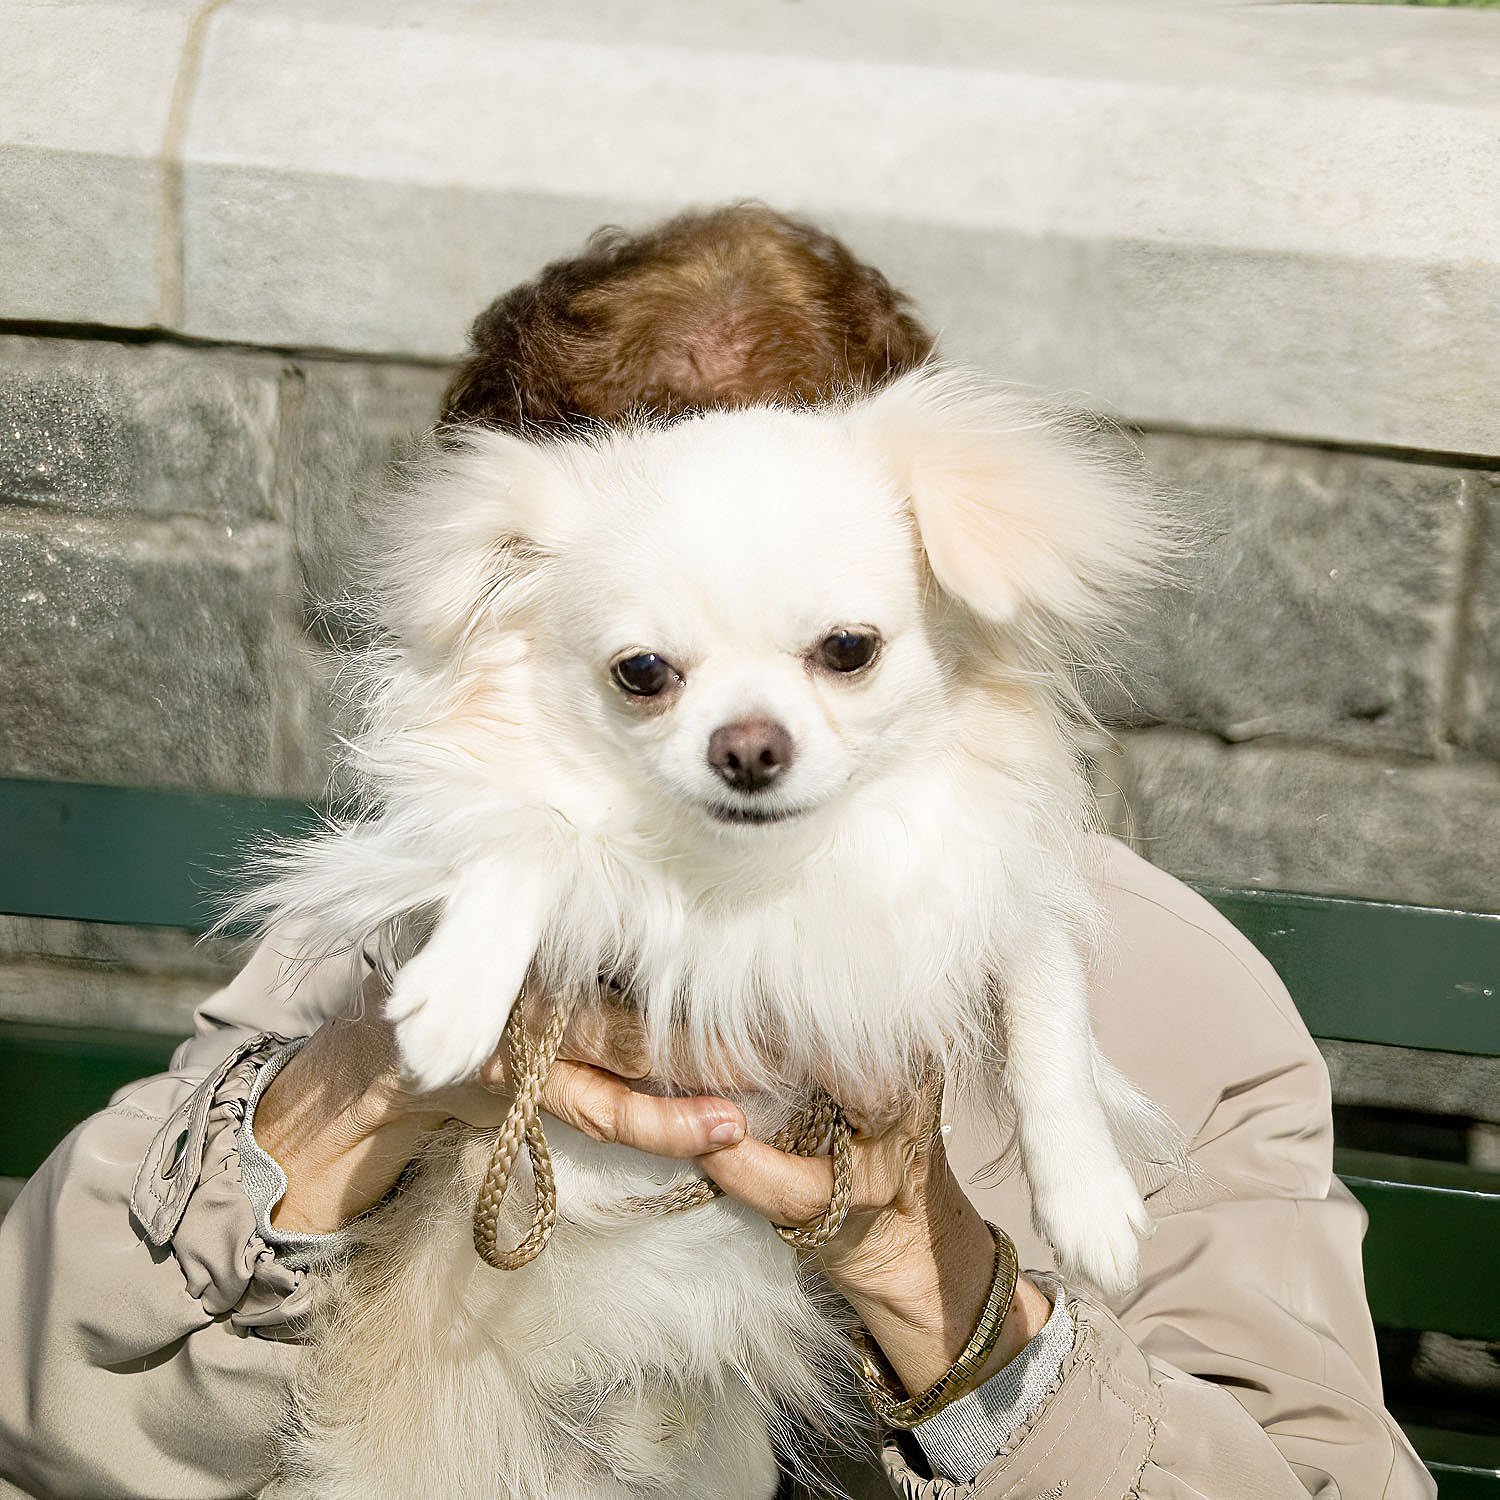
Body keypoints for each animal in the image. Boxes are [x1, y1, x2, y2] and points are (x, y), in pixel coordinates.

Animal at [252, 366, 1176, 1500]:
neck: (756, 874)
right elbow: (536, 837)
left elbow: (1051, 1018)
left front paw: (1089, 1200)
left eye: (848, 651)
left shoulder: (985, 895)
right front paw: (458, 992)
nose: (748, 746)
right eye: (643, 672)